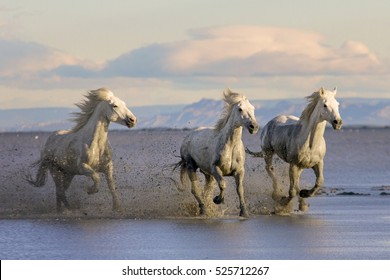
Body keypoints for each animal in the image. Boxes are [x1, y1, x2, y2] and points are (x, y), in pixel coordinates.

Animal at [176, 88, 258, 218]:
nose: (253, 127)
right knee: (195, 189)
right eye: (240, 109)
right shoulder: (216, 169)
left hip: (207, 173)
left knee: (206, 190)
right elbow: (223, 184)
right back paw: (204, 209)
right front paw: (217, 200)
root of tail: (188, 137)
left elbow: (240, 189)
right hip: (190, 165)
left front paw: (244, 212)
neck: (230, 147)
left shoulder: (239, 171)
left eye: (253, 108)